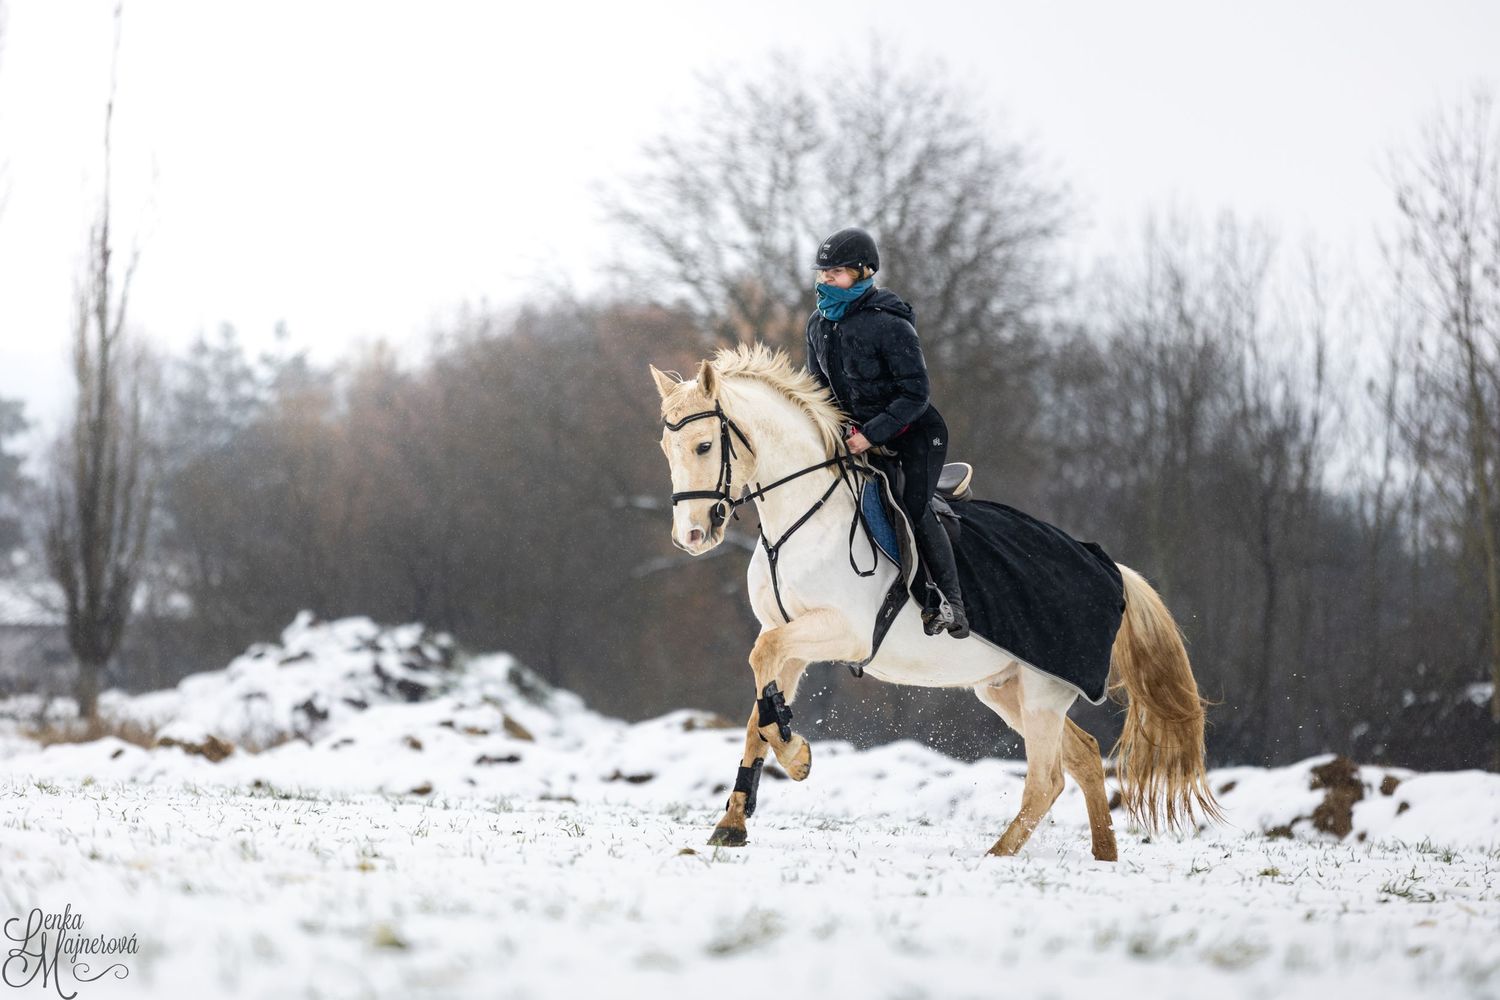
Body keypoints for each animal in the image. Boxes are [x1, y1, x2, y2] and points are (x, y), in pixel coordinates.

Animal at [650, 344, 1220, 859]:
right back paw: (1104, 856)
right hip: (1006, 689)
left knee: (1047, 779)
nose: (691, 536)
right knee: (1082, 757)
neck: (802, 517)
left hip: (1042, 694)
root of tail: (1109, 568)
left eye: (704, 446)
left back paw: (997, 856)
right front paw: (733, 823)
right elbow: (760, 713)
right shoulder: (787, 636)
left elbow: (762, 671)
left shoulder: (840, 631)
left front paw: (797, 757)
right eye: (666, 447)